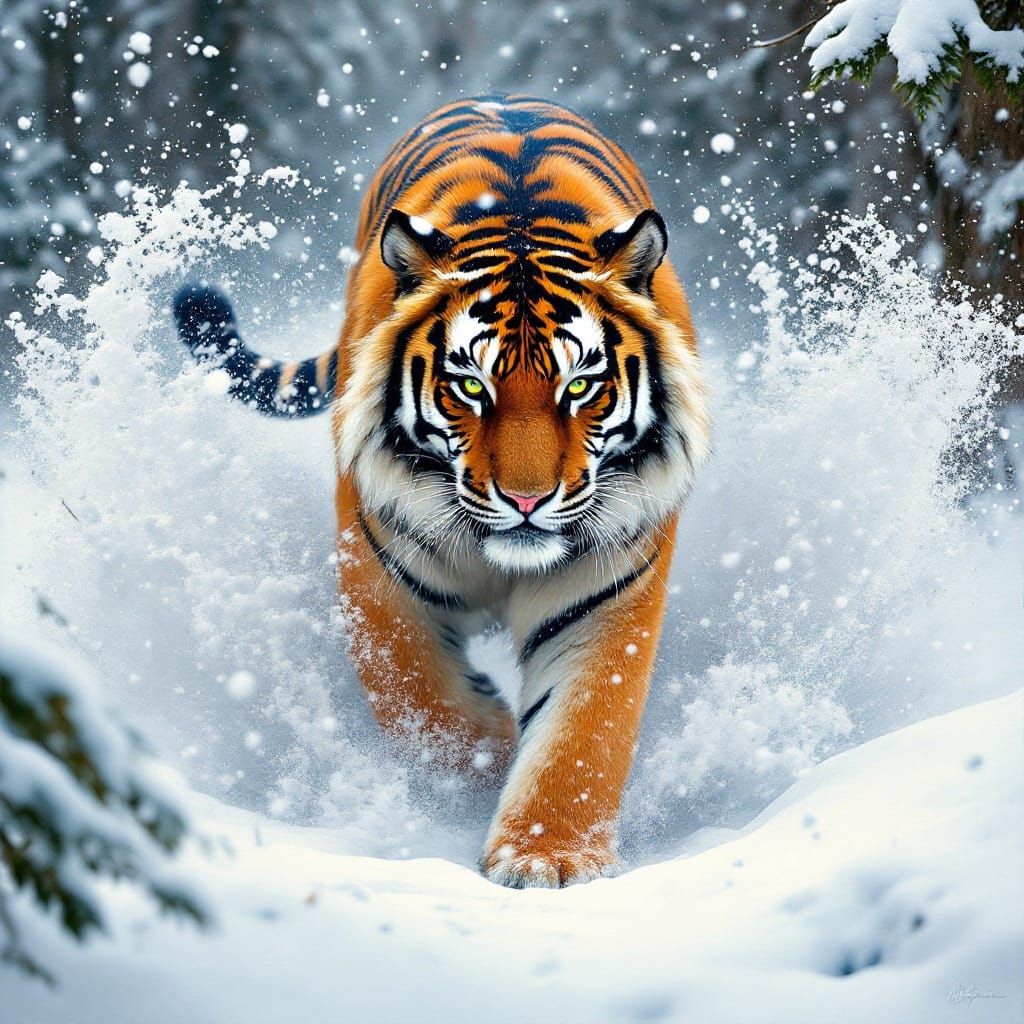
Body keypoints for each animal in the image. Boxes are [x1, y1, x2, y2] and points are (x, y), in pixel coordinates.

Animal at [174, 94, 710, 888]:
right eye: (471, 386)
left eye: (580, 385)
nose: (527, 500)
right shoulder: (380, 574)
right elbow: (423, 700)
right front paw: (482, 765)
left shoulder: (607, 591)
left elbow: (584, 733)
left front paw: (546, 857)